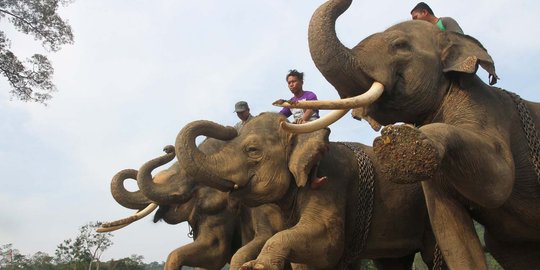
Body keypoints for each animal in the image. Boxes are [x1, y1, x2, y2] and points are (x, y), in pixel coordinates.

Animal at [274, 0, 540, 268]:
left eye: (400, 45)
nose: (281, 103)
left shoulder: (486, 110)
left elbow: (499, 181)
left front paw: (397, 143)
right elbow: (451, 233)